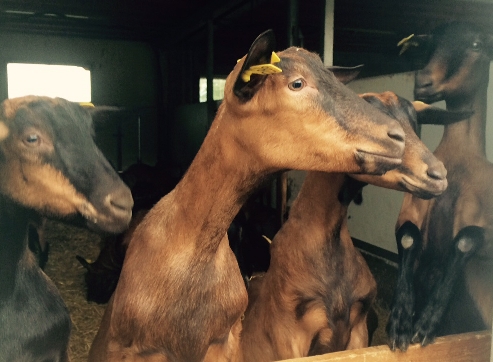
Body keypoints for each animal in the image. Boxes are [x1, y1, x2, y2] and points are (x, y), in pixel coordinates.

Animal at [386, 20, 492, 350]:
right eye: (430, 43)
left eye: (477, 44)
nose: (423, 81)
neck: (459, 160)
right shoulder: (411, 209)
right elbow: (408, 237)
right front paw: (401, 319)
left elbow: (465, 239)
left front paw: (426, 322)